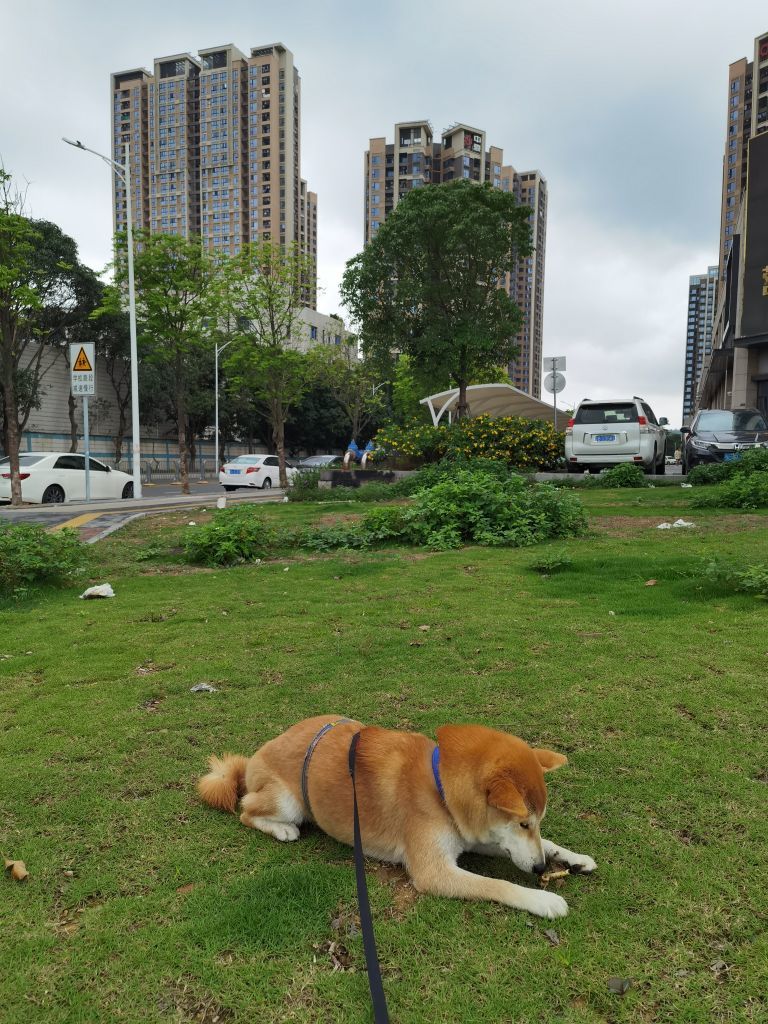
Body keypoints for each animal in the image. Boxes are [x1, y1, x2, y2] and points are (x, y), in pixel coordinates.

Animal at [198, 720, 593, 921]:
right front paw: (543, 900)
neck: (440, 786)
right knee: (246, 809)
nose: (540, 869)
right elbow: (497, 885)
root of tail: (255, 756)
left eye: (536, 823)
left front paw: (573, 858)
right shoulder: (434, 870)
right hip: (287, 801)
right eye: (523, 823)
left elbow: (543, 846)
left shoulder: (475, 837)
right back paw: (281, 829)